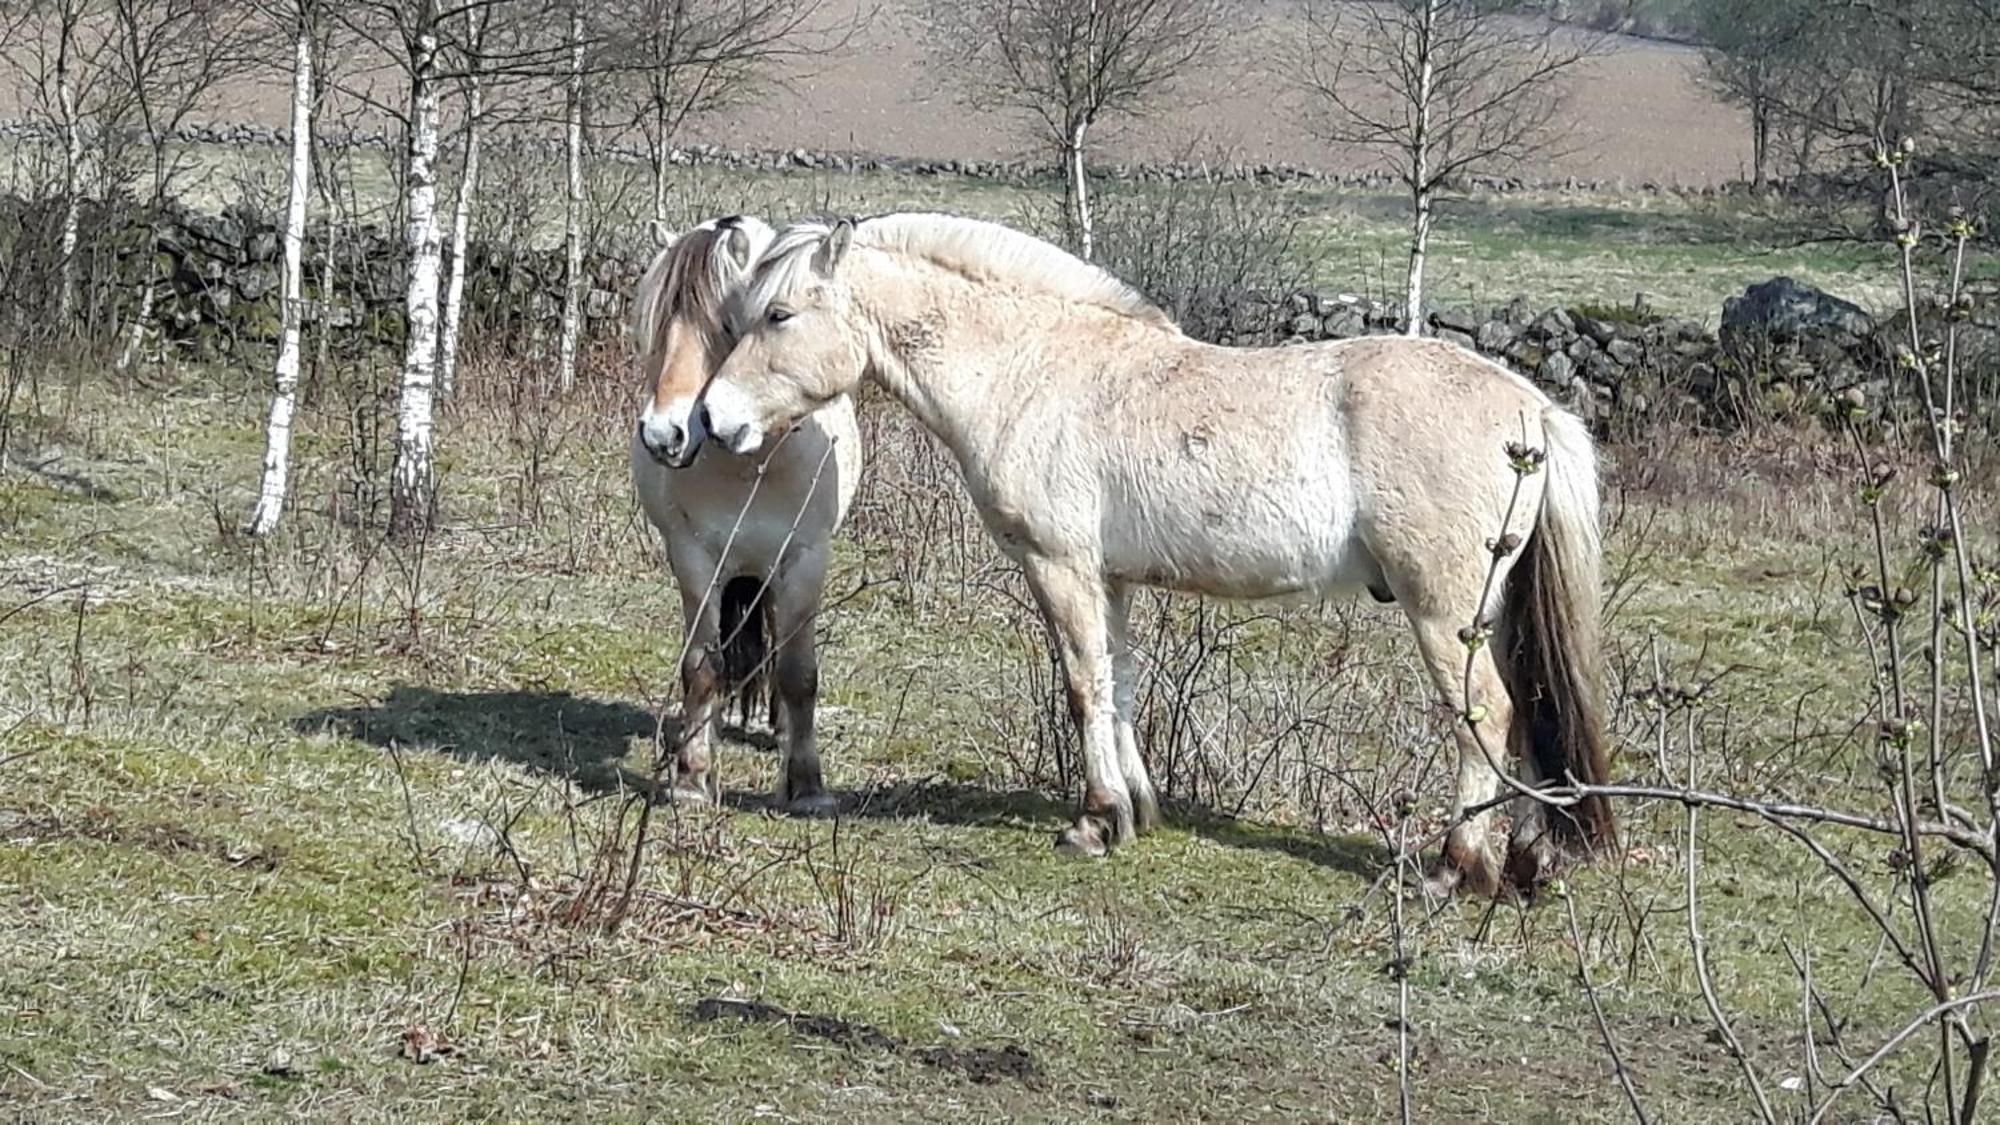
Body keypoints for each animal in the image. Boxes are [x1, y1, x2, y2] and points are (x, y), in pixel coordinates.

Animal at [628, 214, 856, 808]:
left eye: (726, 326)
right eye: (655, 327)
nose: (664, 435)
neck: (751, 464)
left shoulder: (804, 559)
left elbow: (799, 671)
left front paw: (807, 785)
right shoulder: (694, 559)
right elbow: (702, 667)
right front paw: (691, 776)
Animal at [700, 212, 1608, 892]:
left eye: (779, 316)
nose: (712, 419)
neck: (1031, 369)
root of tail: (1530, 407)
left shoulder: (1060, 567)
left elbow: (1082, 685)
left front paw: (1094, 820)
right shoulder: (1113, 581)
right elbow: (1122, 685)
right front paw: (1137, 809)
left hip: (1444, 612)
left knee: (1487, 715)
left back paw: (1455, 868)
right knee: (1531, 715)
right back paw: (1526, 863)